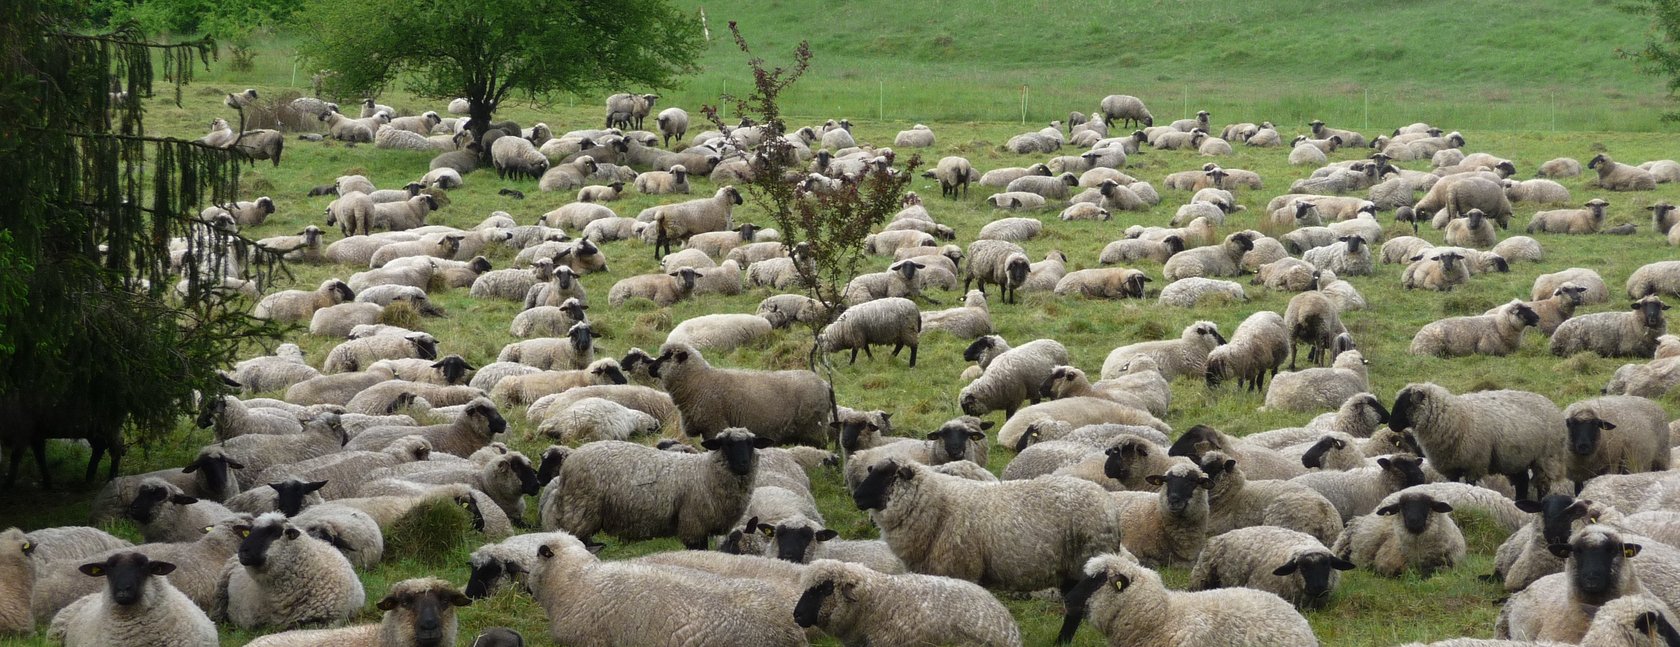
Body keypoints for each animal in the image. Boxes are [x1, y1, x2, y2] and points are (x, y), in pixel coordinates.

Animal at [1389, 382, 1567, 501]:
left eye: (1405, 403)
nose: (1390, 425)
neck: (1455, 417)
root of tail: (1553, 406)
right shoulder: (1451, 467)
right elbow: (1454, 484)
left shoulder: (1474, 464)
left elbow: (1470, 484)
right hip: (1516, 458)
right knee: (1522, 482)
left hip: (1547, 458)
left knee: (1542, 485)